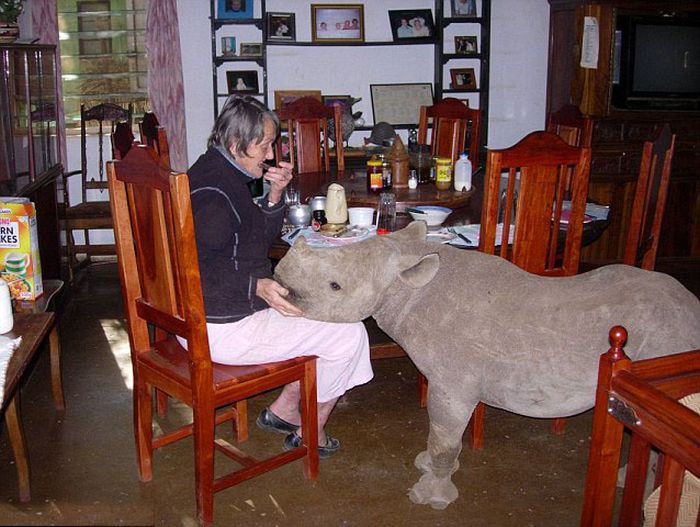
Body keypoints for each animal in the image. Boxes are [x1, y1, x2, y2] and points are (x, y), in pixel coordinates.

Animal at [274, 222, 700, 512]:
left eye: (335, 287)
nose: (277, 274)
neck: (408, 285)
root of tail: (694, 308)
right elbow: (443, 436)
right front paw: (427, 465)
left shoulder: (453, 385)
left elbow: (444, 436)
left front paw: (430, 497)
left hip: (667, 338)